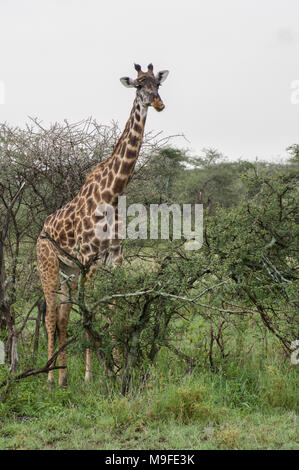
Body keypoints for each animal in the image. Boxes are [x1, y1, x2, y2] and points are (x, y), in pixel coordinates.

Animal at [36, 62, 170, 386]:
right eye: (139, 85)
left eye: (158, 85)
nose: (159, 103)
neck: (112, 194)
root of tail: (41, 232)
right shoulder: (89, 258)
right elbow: (90, 313)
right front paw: (90, 377)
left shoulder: (114, 257)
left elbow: (111, 308)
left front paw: (118, 370)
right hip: (48, 266)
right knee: (50, 315)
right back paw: (48, 378)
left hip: (68, 272)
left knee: (62, 315)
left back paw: (63, 378)